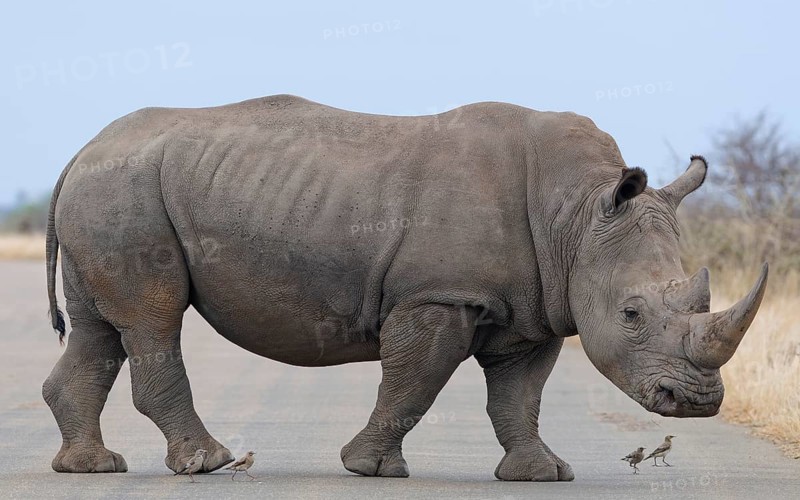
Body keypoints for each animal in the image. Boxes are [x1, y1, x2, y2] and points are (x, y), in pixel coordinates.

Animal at [42, 95, 767, 480]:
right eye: (632, 313)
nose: (696, 403)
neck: (577, 214)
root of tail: (81, 150)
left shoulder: (535, 305)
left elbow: (519, 395)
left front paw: (541, 474)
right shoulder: (440, 294)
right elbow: (415, 381)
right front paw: (370, 469)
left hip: (112, 189)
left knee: (100, 330)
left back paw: (91, 467)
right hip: (126, 191)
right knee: (152, 319)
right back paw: (209, 462)